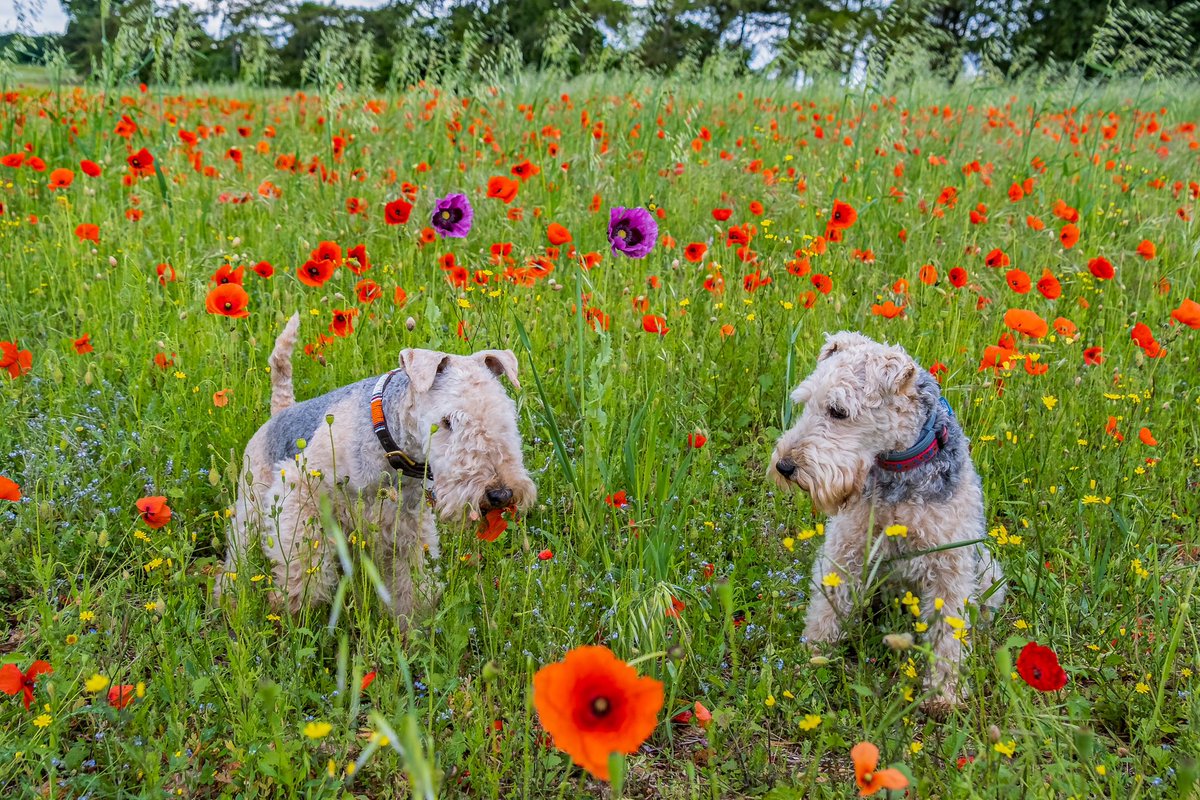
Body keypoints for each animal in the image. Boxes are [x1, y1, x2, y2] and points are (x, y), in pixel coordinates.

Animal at [214, 314, 535, 623]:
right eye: (447, 421)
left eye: (505, 412)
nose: (500, 494)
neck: (389, 445)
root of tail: (281, 411)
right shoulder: (300, 491)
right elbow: (305, 565)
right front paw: (294, 608)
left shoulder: (406, 528)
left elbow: (410, 586)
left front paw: (410, 627)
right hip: (251, 505)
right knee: (237, 557)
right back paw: (229, 599)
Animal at [768, 331, 1003, 714]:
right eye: (805, 403)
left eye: (838, 411)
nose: (784, 466)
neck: (900, 469)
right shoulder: (846, 549)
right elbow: (825, 611)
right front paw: (812, 657)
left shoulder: (949, 566)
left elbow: (947, 635)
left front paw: (944, 693)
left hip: (987, 572)